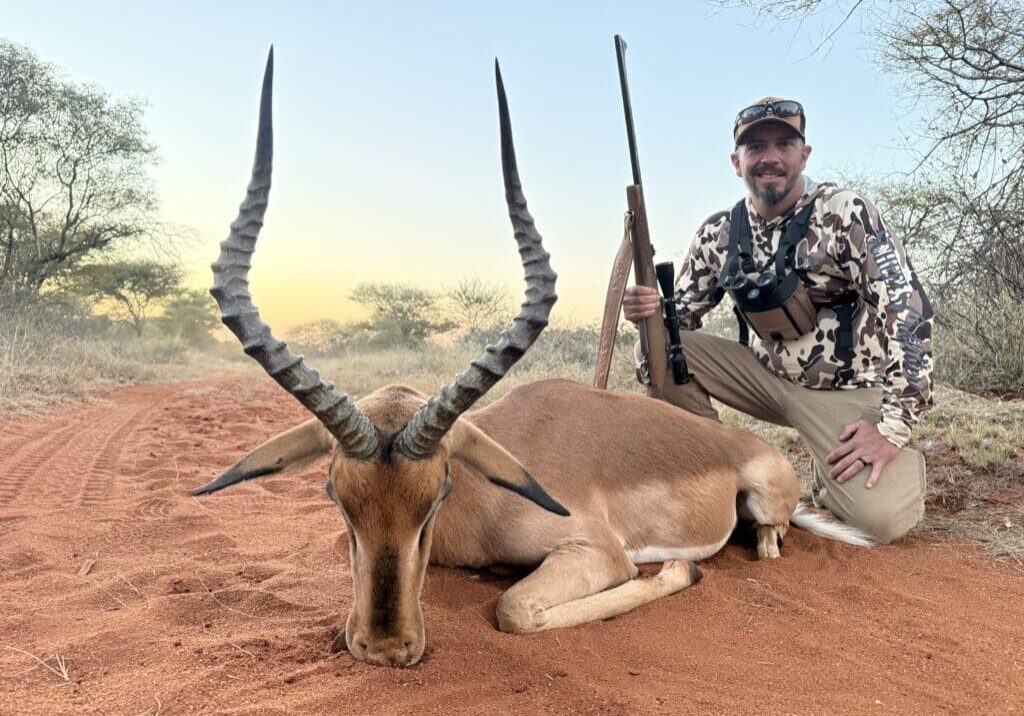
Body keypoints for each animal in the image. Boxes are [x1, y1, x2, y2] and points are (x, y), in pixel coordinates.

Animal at [193, 50, 872, 668]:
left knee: (769, 539)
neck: (484, 495)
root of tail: (740, 446)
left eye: (438, 492)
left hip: (764, 506)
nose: (385, 648)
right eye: (335, 494)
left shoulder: (596, 552)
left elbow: (515, 609)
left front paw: (678, 572)